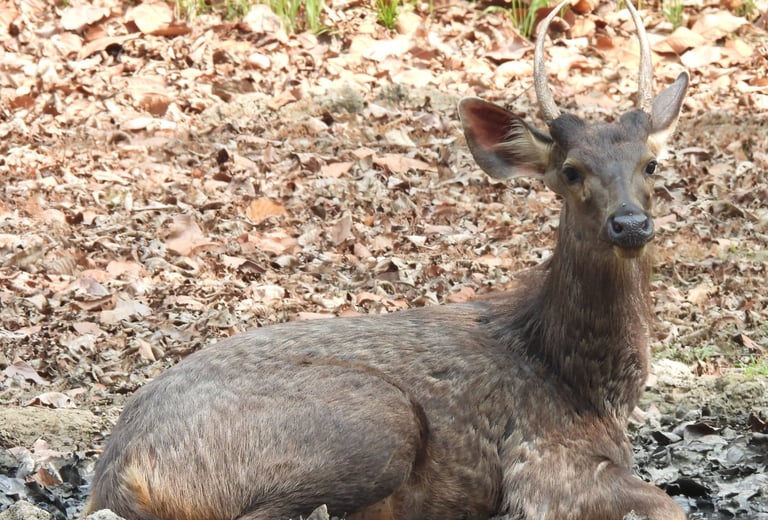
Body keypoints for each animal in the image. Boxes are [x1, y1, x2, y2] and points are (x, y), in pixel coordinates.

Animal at [86, 0, 689, 518]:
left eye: (651, 163)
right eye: (570, 170)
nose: (630, 223)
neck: (587, 390)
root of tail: (117, 475)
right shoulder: (545, 463)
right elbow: (669, 504)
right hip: (378, 419)